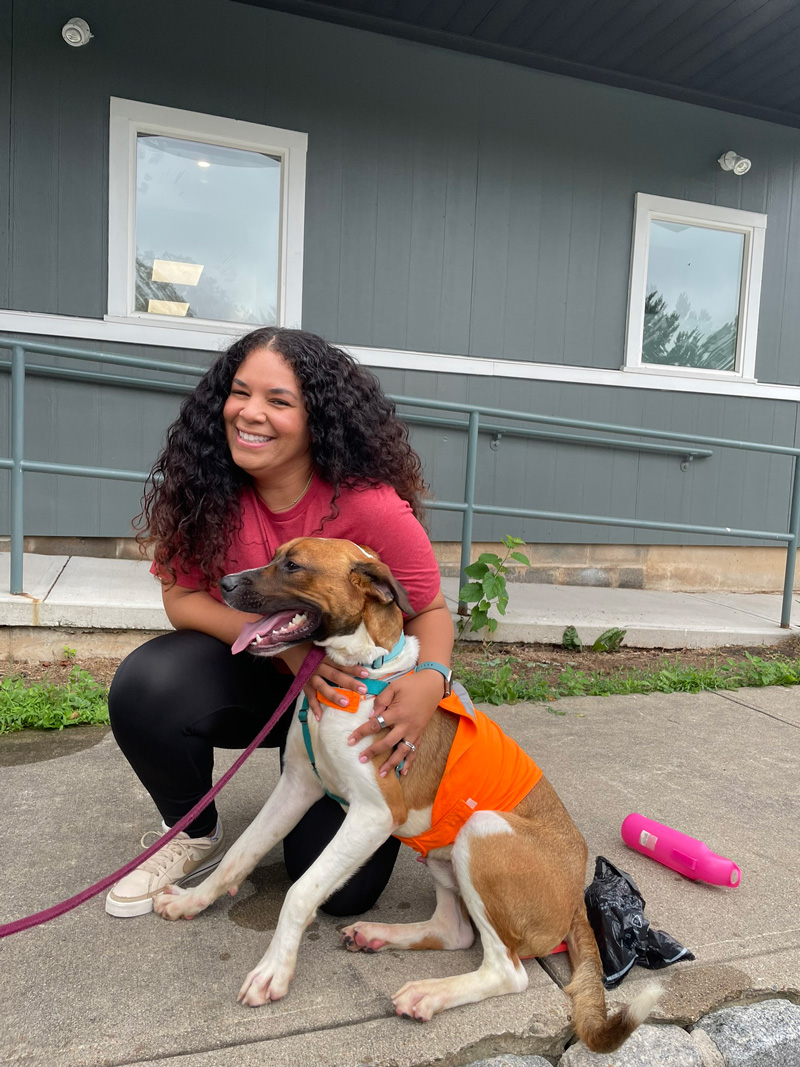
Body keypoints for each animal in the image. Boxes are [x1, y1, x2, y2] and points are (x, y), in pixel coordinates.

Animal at [154, 537, 658, 1051]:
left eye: (293, 565)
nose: (223, 583)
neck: (363, 669)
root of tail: (577, 897)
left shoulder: (374, 815)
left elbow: (300, 891)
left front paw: (274, 969)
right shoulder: (297, 785)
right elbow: (240, 853)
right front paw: (193, 900)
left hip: (482, 829)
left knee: (508, 971)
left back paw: (429, 993)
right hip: (441, 852)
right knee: (455, 932)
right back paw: (379, 936)